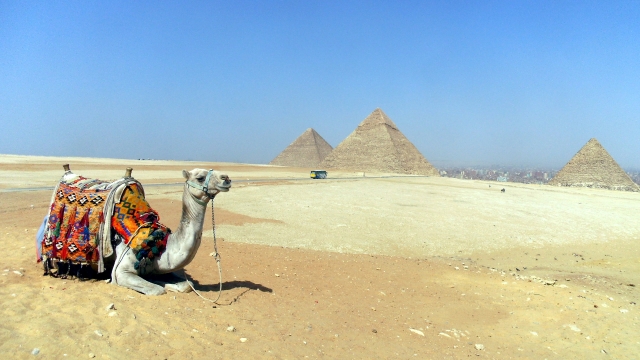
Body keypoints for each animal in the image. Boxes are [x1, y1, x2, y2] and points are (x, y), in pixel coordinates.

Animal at [38, 167, 231, 296]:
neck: (159, 246)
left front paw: (166, 282)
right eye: (200, 177)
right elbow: (157, 290)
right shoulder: (120, 271)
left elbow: (187, 285)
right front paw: (161, 285)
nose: (226, 178)